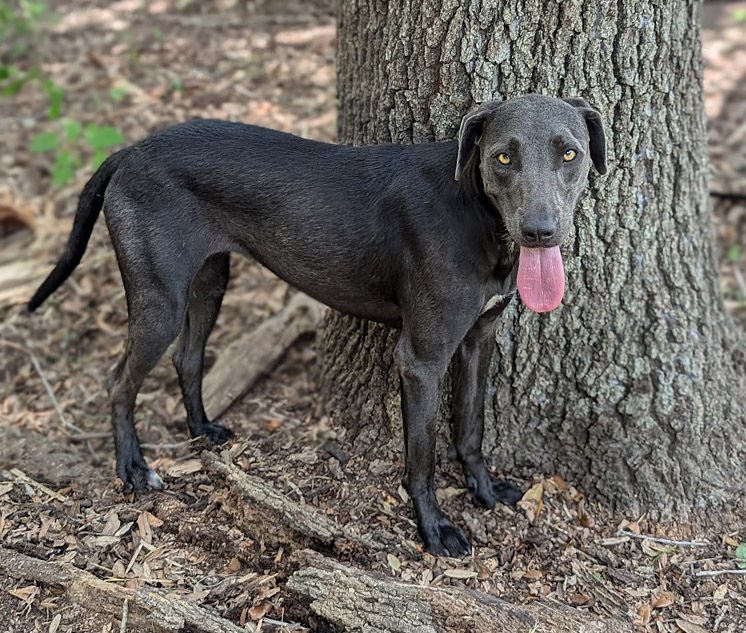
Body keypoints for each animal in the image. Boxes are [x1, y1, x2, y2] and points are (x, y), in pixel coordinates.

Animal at [32, 92, 608, 552]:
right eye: (503, 156)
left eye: (570, 153)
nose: (540, 232)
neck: (475, 211)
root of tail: (130, 151)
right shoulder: (421, 359)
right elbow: (421, 458)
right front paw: (435, 530)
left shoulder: (477, 342)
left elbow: (470, 429)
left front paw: (485, 493)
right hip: (160, 298)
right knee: (119, 381)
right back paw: (133, 469)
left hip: (209, 280)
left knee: (187, 357)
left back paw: (201, 430)